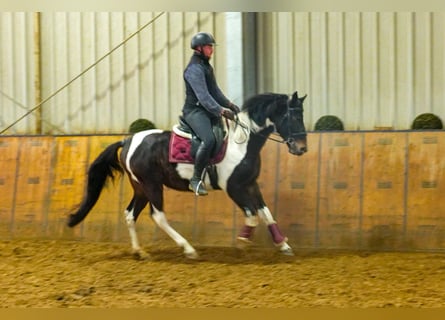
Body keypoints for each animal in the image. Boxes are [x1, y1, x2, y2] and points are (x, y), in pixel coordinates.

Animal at [67, 90, 306, 260]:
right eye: (292, 117)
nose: (302, 148)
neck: (242, 144)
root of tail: (128, 140)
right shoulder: (234, 188)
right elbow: (252, 215)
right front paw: (242, 242)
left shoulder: (250, 184)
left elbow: (266, 213)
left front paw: (283, 245)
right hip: (152, 185)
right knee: (158, 216)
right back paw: (188, 249)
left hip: (141, 187)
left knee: (130, 214)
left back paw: (140, 252)